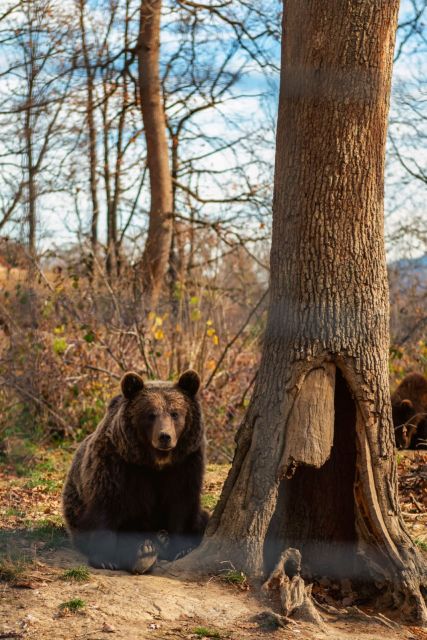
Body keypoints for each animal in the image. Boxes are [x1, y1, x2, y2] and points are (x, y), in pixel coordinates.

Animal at [63, 368, 209, 572]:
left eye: (175, 413)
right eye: (151, 414)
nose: (165, 437)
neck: (155, 462)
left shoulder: (186, 463)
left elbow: (182, 502)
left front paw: (180, 548)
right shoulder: (117, 464)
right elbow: (106, 506)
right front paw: (105, 559)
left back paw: (160, 540)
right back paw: (145, 551)